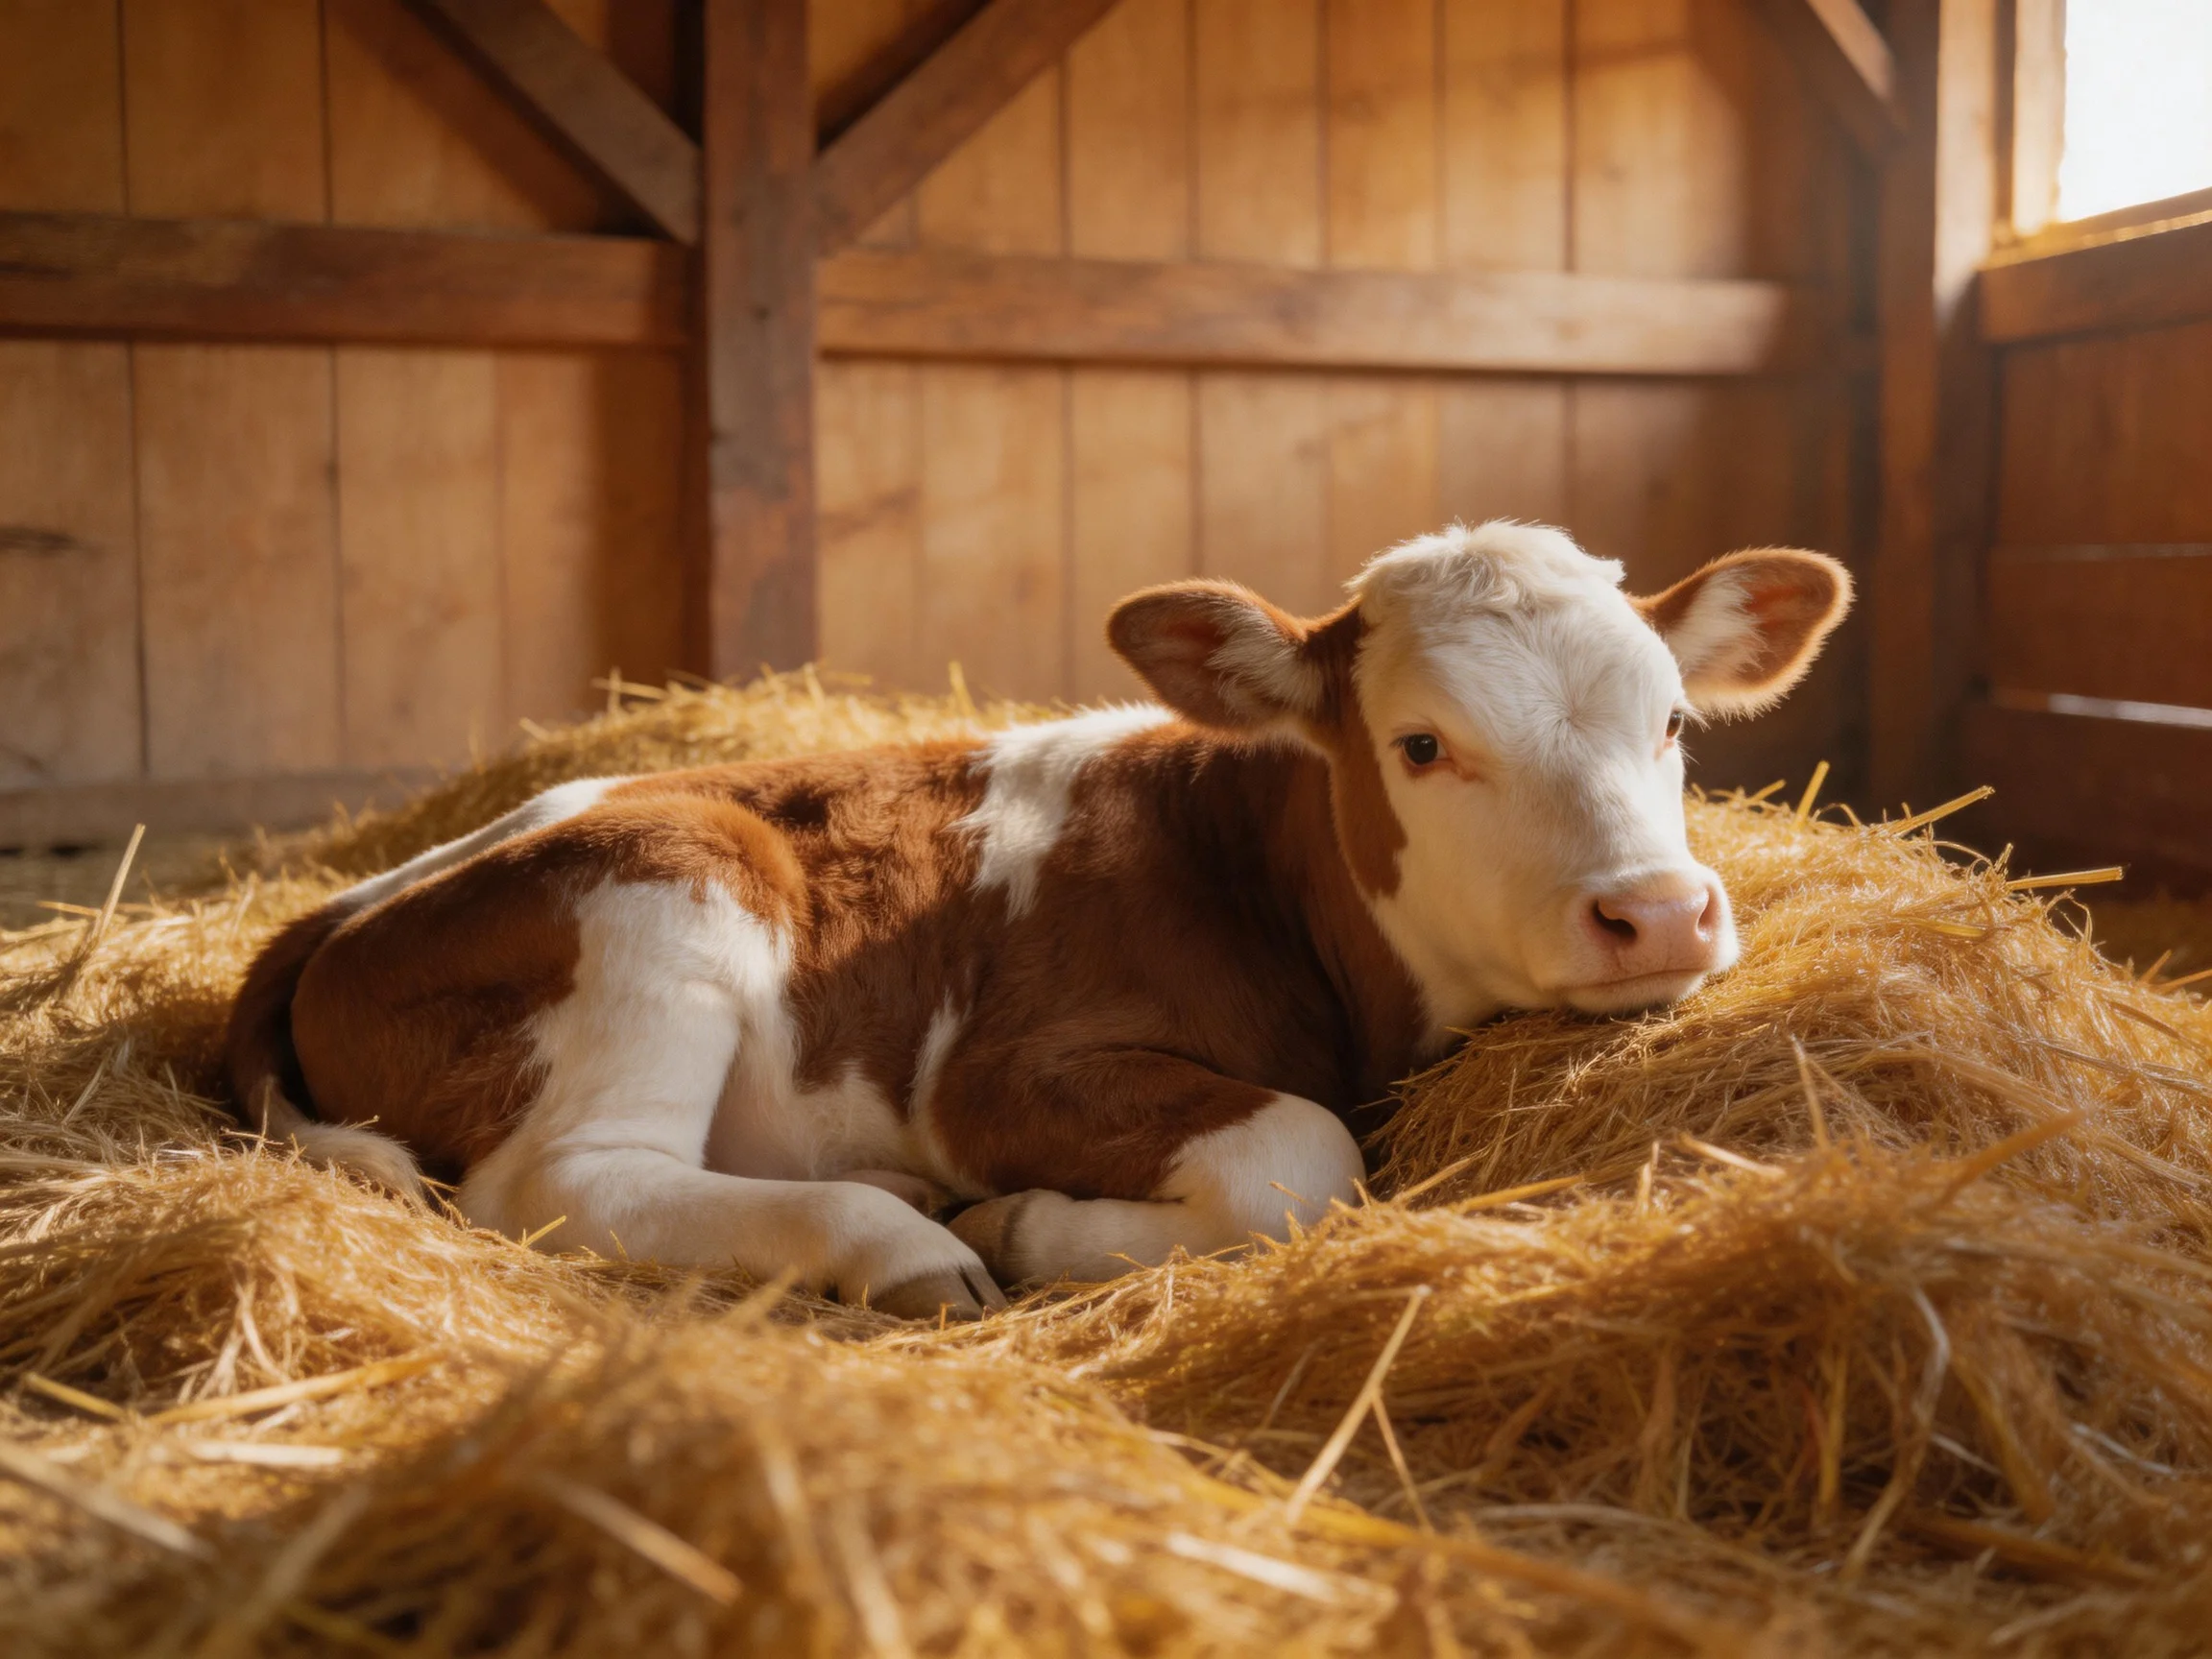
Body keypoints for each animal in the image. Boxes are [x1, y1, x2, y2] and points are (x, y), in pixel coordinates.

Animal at [225, 522, 1849, 1320]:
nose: (1659, 914)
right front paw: (1022, 1223)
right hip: (672, 880)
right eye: (1422, 746)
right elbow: (1297, 1155)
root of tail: (352, 898)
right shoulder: (999, 1073)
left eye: (1672, 722)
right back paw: (898, 1242)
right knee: (566, 1184)